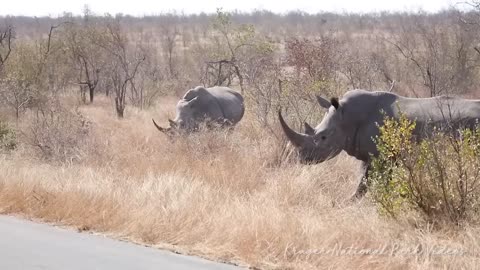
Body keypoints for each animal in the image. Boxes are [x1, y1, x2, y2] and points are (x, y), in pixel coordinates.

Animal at [278, 89, 480, 199]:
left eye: (323, 137)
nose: (301, 159)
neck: (347, 118)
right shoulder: (371, 155)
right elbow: (367, 181)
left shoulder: (380, 157)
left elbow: (366, 183)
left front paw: (345, 203)